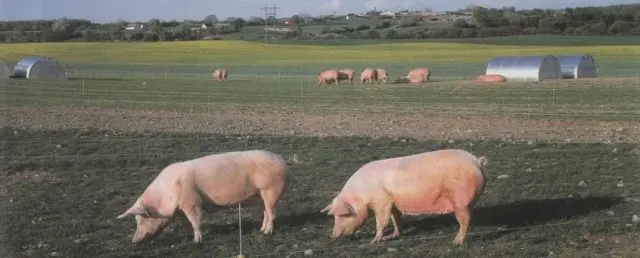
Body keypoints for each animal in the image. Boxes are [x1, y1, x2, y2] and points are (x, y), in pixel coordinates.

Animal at [117, 149, 288, 244]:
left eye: (141, 218)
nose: (134, 241)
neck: (167, 194)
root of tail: (281, 160)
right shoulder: (182, 208)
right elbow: (188, 223)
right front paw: (192, 239)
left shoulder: (192, 202)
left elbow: (195, 221)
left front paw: (197, 241)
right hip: (261, 195)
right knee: (266, 213)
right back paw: (261, 230)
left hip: (271, 190)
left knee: (272, 214)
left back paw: (267, 233)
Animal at [322, 148, 488, 245]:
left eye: (342, 215)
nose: (332, 236)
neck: (362, 194)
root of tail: (476, 161)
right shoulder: (393, 202)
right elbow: (396, 219)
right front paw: (393, 236)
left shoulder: (382, 201)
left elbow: (381, 221)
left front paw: (373, 241)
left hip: (460, 200)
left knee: (464, 221)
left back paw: (456, 242)